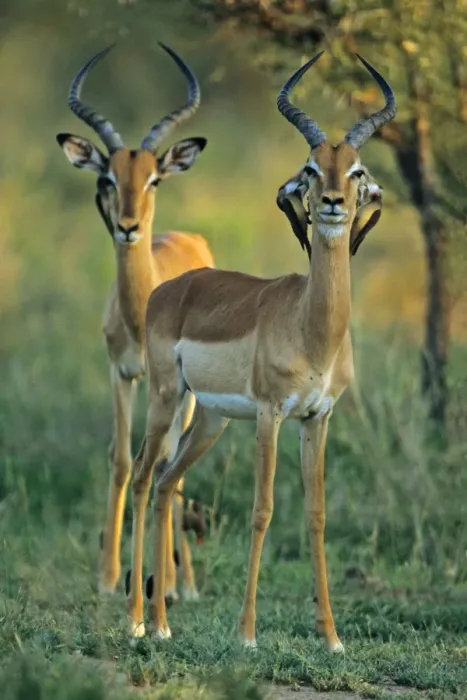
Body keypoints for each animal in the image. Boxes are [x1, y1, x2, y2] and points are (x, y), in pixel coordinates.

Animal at [56, 44, 214, 602]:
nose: (127, 227)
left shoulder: (166, 387)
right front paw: (107, 578)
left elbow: (161, 463)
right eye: (108, 178)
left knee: (175, 466)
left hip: (189, 395)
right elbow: (122, 459)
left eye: (154, 178)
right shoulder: (120, 373)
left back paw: (181, 584)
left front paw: (161, 584)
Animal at [126, 52, 396, 650]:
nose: (333, 204)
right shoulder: (272, 415)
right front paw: (247, 634)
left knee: (166, 482)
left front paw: (331, 636)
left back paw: (162, 623)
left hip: (208, 421)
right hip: (164, 398)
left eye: (356, 168)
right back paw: (134, 621)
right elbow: (262, 509)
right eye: (312, 166)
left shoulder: (318, 418)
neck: (311, 328)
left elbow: (315, 514)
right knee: (140, 478)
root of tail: (171, 288)